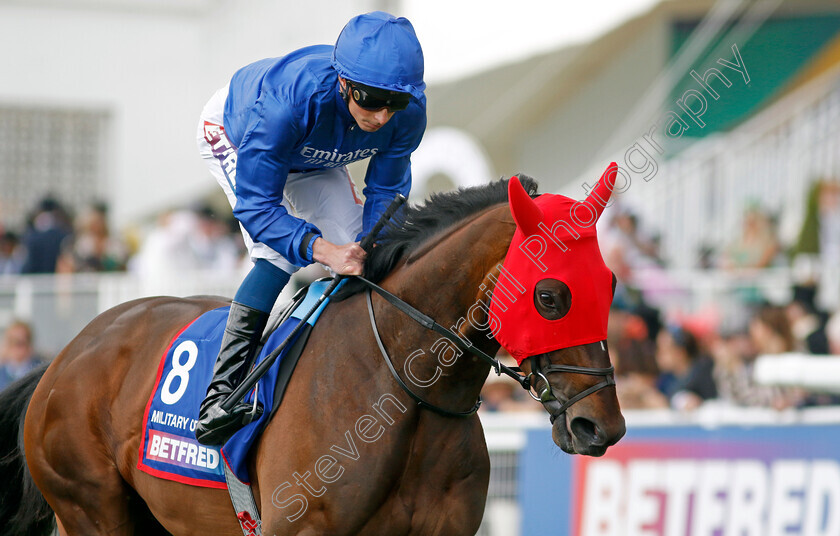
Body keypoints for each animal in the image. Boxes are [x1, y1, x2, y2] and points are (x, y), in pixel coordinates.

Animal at [0, 165, 624, 532]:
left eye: (611, 284)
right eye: (550, 295)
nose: (602, 426)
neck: (401, 389)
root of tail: (64, 356)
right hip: (89, 507)